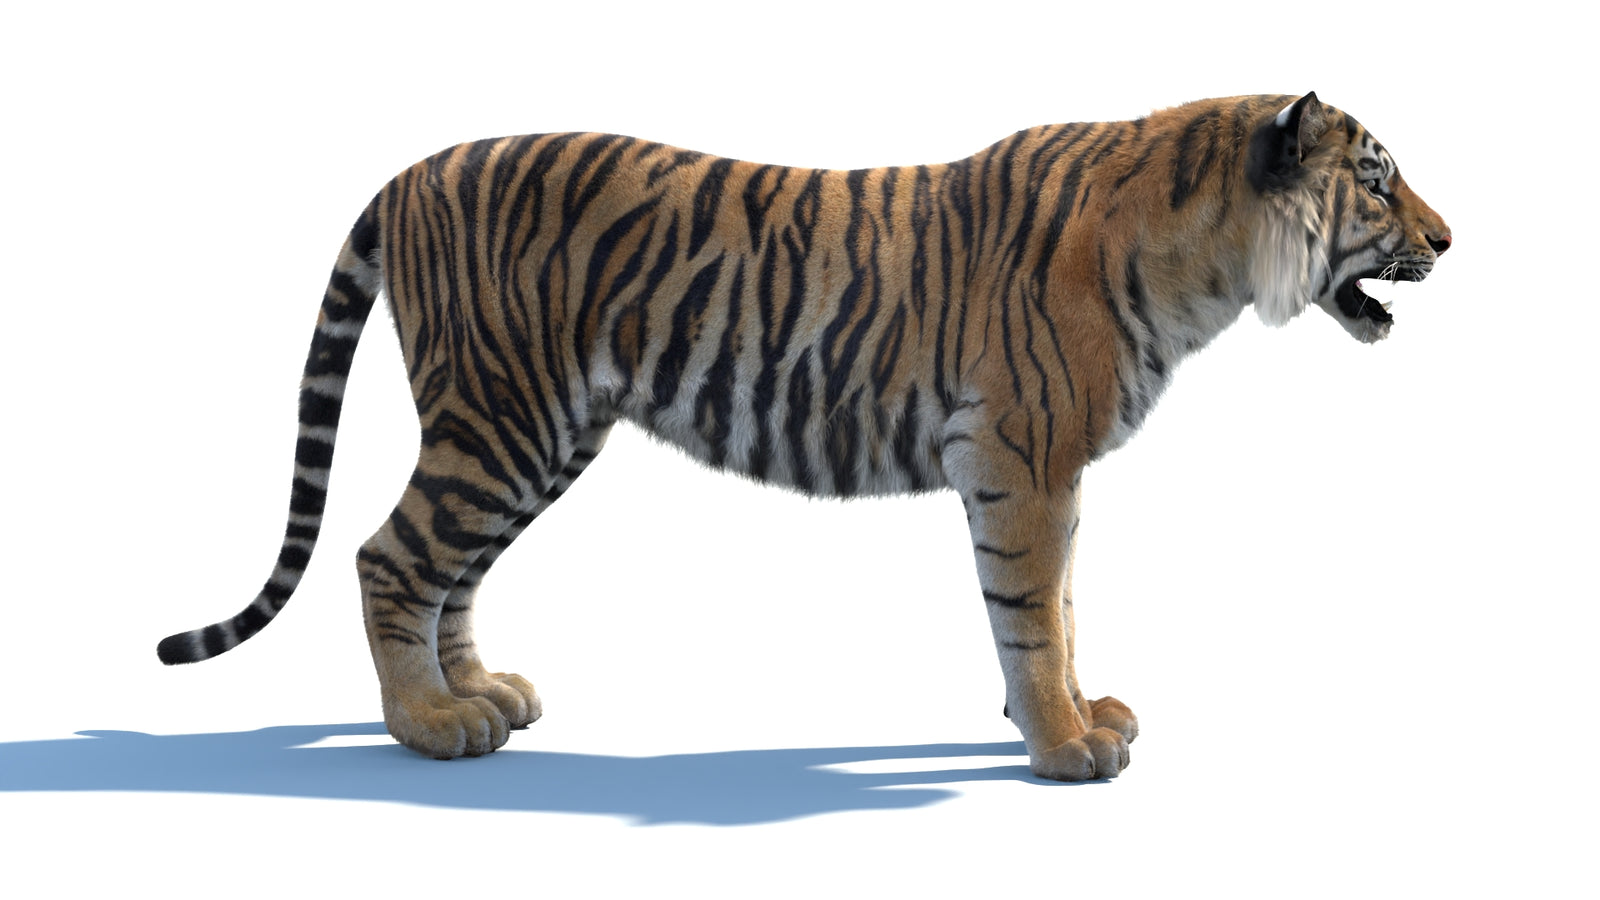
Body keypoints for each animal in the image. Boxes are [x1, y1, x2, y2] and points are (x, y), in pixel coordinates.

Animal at [158, 92, 1450, 781]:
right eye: (1376, 183)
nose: (1450, 238)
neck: (1209, 266)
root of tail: (410, 170)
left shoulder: (1053, 467)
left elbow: (1064, 608)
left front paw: (1079, 716)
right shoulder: (1021, 458)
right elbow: (1033, 613)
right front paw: (1061, 742)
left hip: (540, 433)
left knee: (450, 569)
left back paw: (480, 694)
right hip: (501, 417)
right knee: (389, 555)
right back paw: (427, 727)